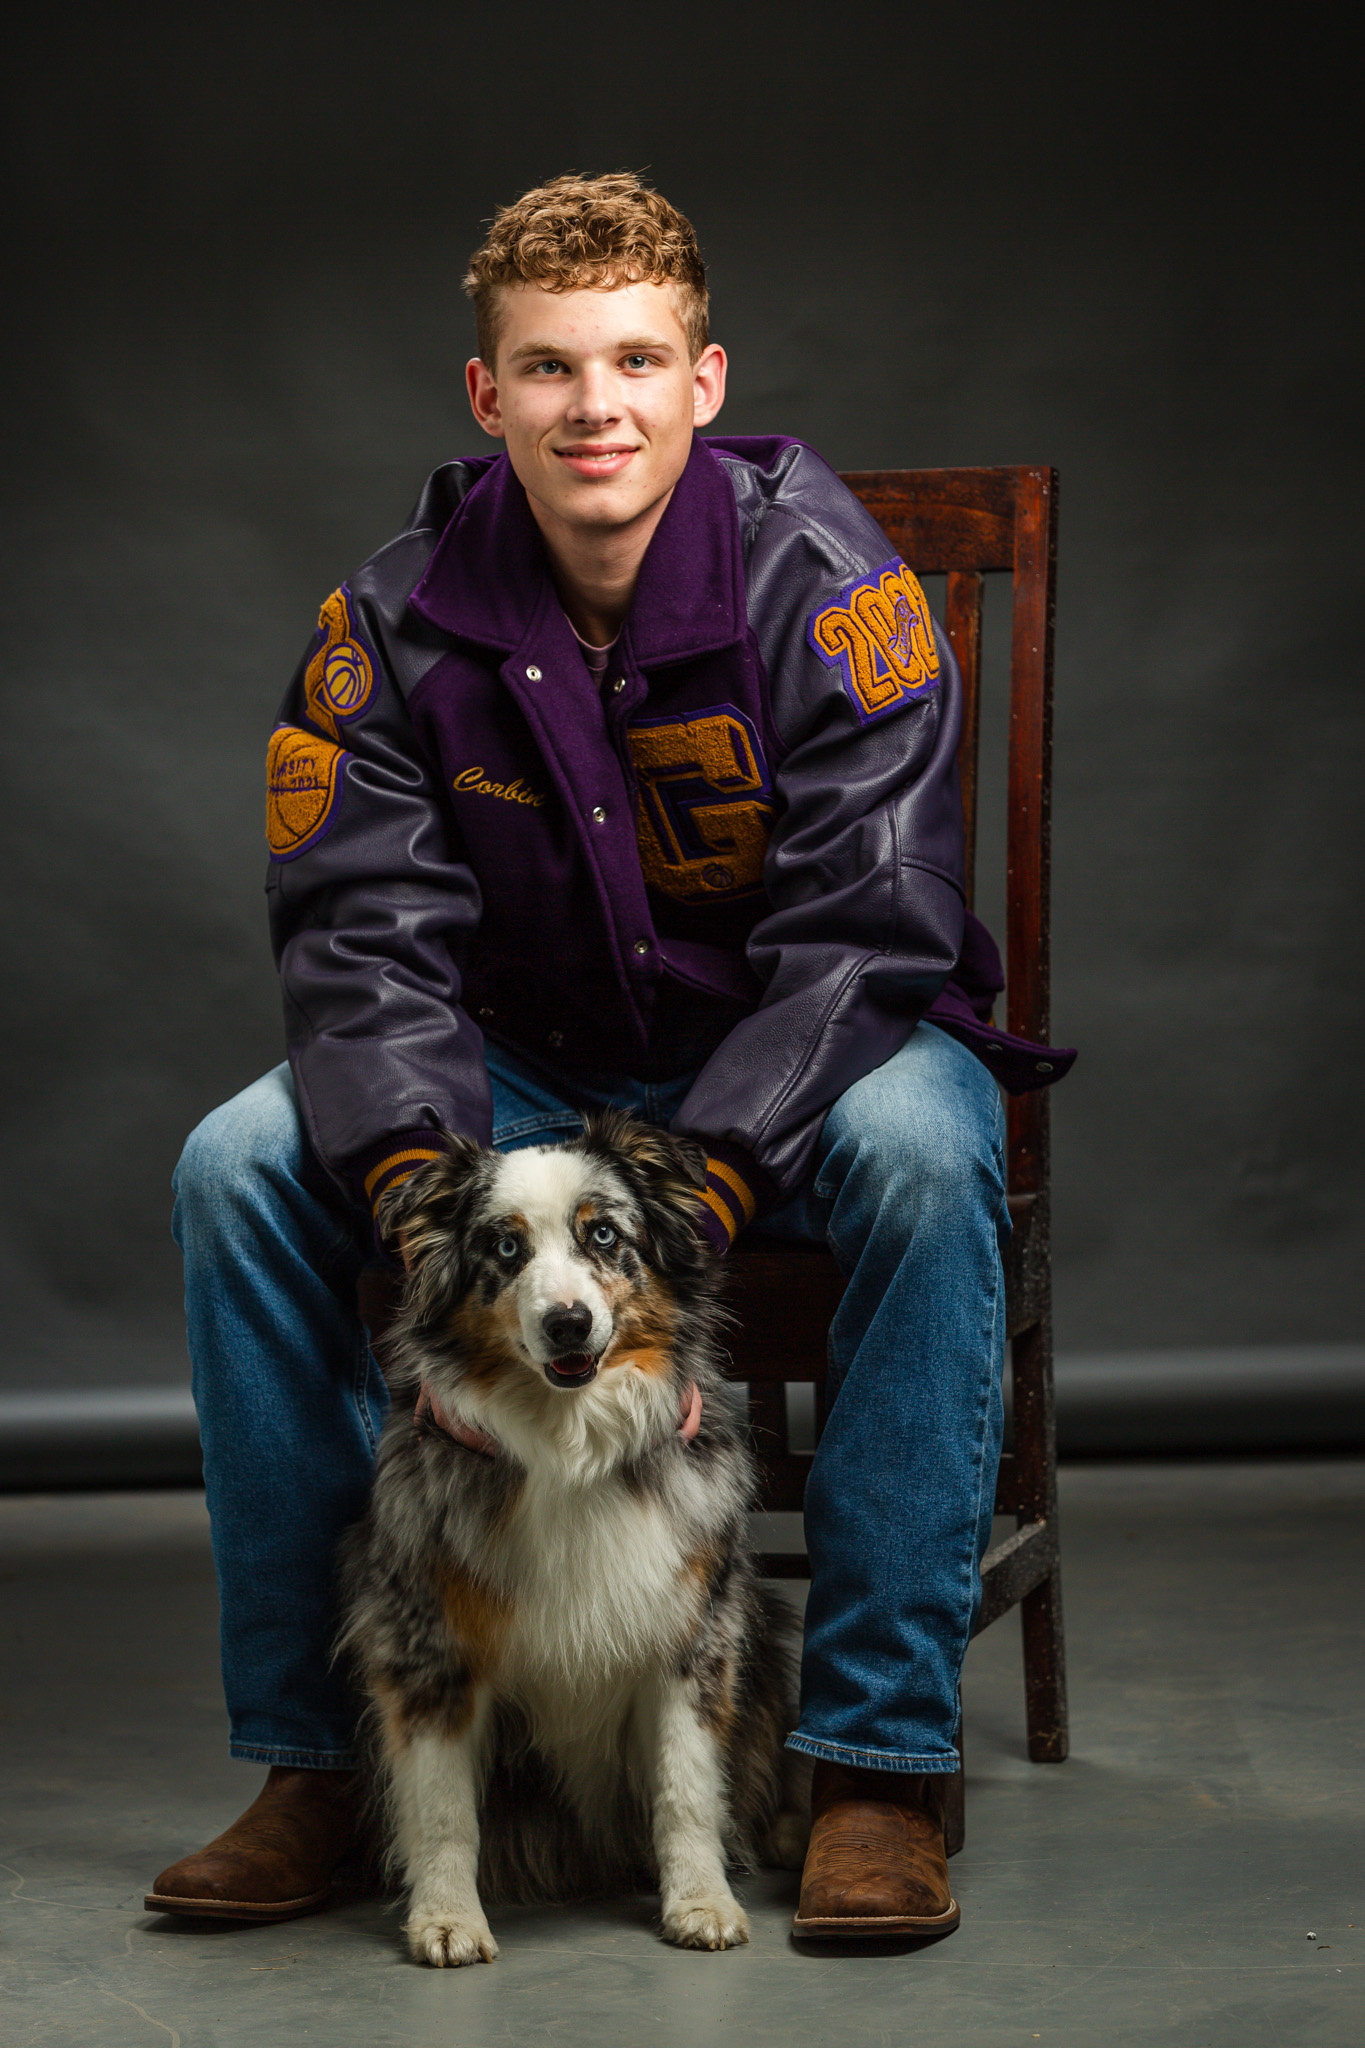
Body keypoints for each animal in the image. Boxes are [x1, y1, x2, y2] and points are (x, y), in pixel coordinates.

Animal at [339, 1122, 806, 1966]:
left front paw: (700, 1902)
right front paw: (446, 1918)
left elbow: (686, 1790)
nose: (567, 1324)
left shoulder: (690, 1636)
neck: (570, 1441)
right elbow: (443, 1807)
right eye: (504, 1247)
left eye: (604, 1235)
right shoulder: (429, 1646)